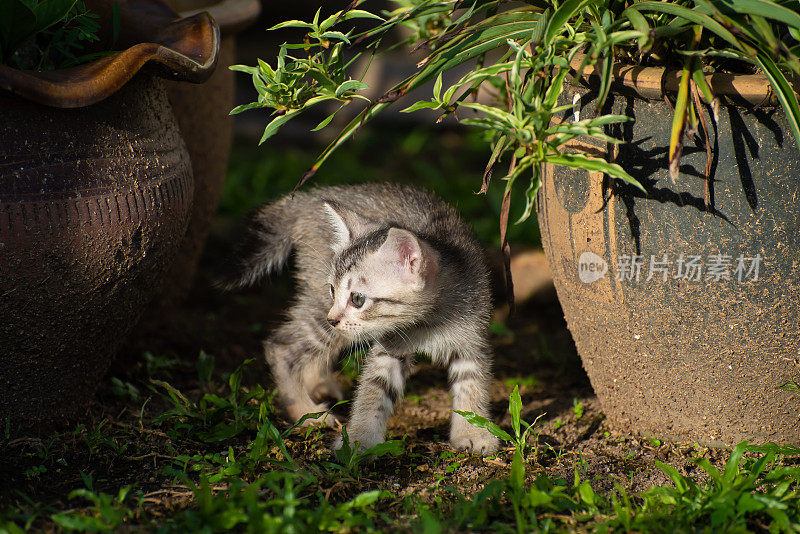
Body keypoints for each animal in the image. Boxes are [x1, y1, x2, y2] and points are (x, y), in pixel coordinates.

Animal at [225, 183, 496, 456]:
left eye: (357, 299)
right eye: (333, 290)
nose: (333, 318)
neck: (426, 323)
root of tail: (304, 197)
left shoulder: (471, 337)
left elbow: (472, 382)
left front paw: (473, 432)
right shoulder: (388, 348)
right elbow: (372, 392)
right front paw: (359, 438)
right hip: (321, 312)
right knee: (281, 346)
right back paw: (305, 411)